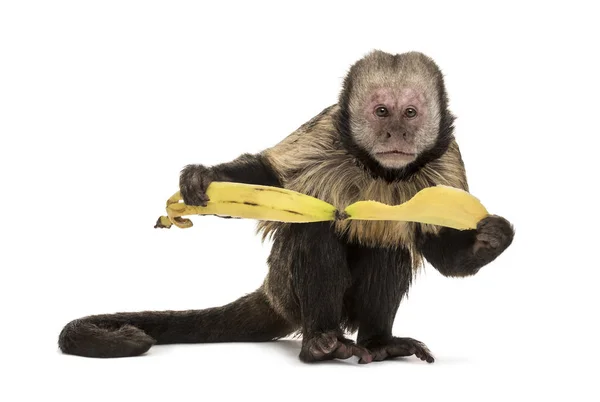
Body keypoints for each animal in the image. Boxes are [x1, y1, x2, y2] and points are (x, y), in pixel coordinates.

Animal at [58, 50, 512, 364]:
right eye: (382, 111)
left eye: (411, 113)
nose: (395, 131)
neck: (380, 171)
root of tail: (272, 295)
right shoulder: (325, 130)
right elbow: (271, 177)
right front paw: (203, 177)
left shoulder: (448, 160)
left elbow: (441, 250)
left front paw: (492, 239)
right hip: (288, 291)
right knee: (316, 231)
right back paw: (320, 343)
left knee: (385, 242)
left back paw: (379, 342)